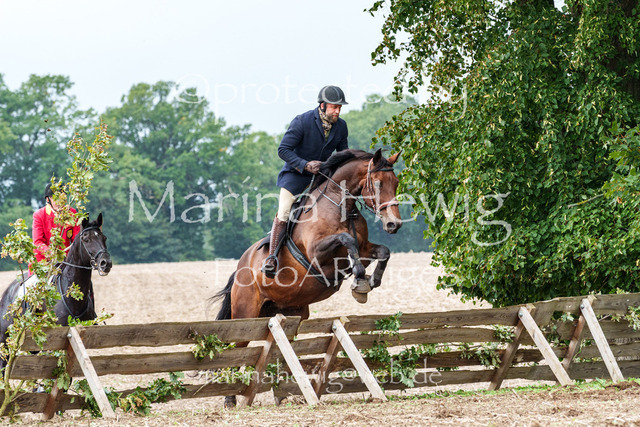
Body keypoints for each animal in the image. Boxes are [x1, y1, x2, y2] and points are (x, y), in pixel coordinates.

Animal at [0, 213, 112, 367]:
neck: (72, 296)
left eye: (104, 237)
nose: (106, 263)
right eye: (86, 239)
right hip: (5, 342)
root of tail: (7, 293)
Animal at [211, 149, 402, 407]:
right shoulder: (317, 255)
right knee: (235, 348)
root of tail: (241, 265)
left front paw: (367, 283)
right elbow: (347, 241)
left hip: (290, 314)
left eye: (396, 182)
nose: (394, 224)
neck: (341, 205)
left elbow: (383, 252)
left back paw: (282, 396)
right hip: (245, 313)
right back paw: (230, 399)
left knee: (280, 348)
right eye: (379, 183)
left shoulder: (364, 247)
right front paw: (360, 279)